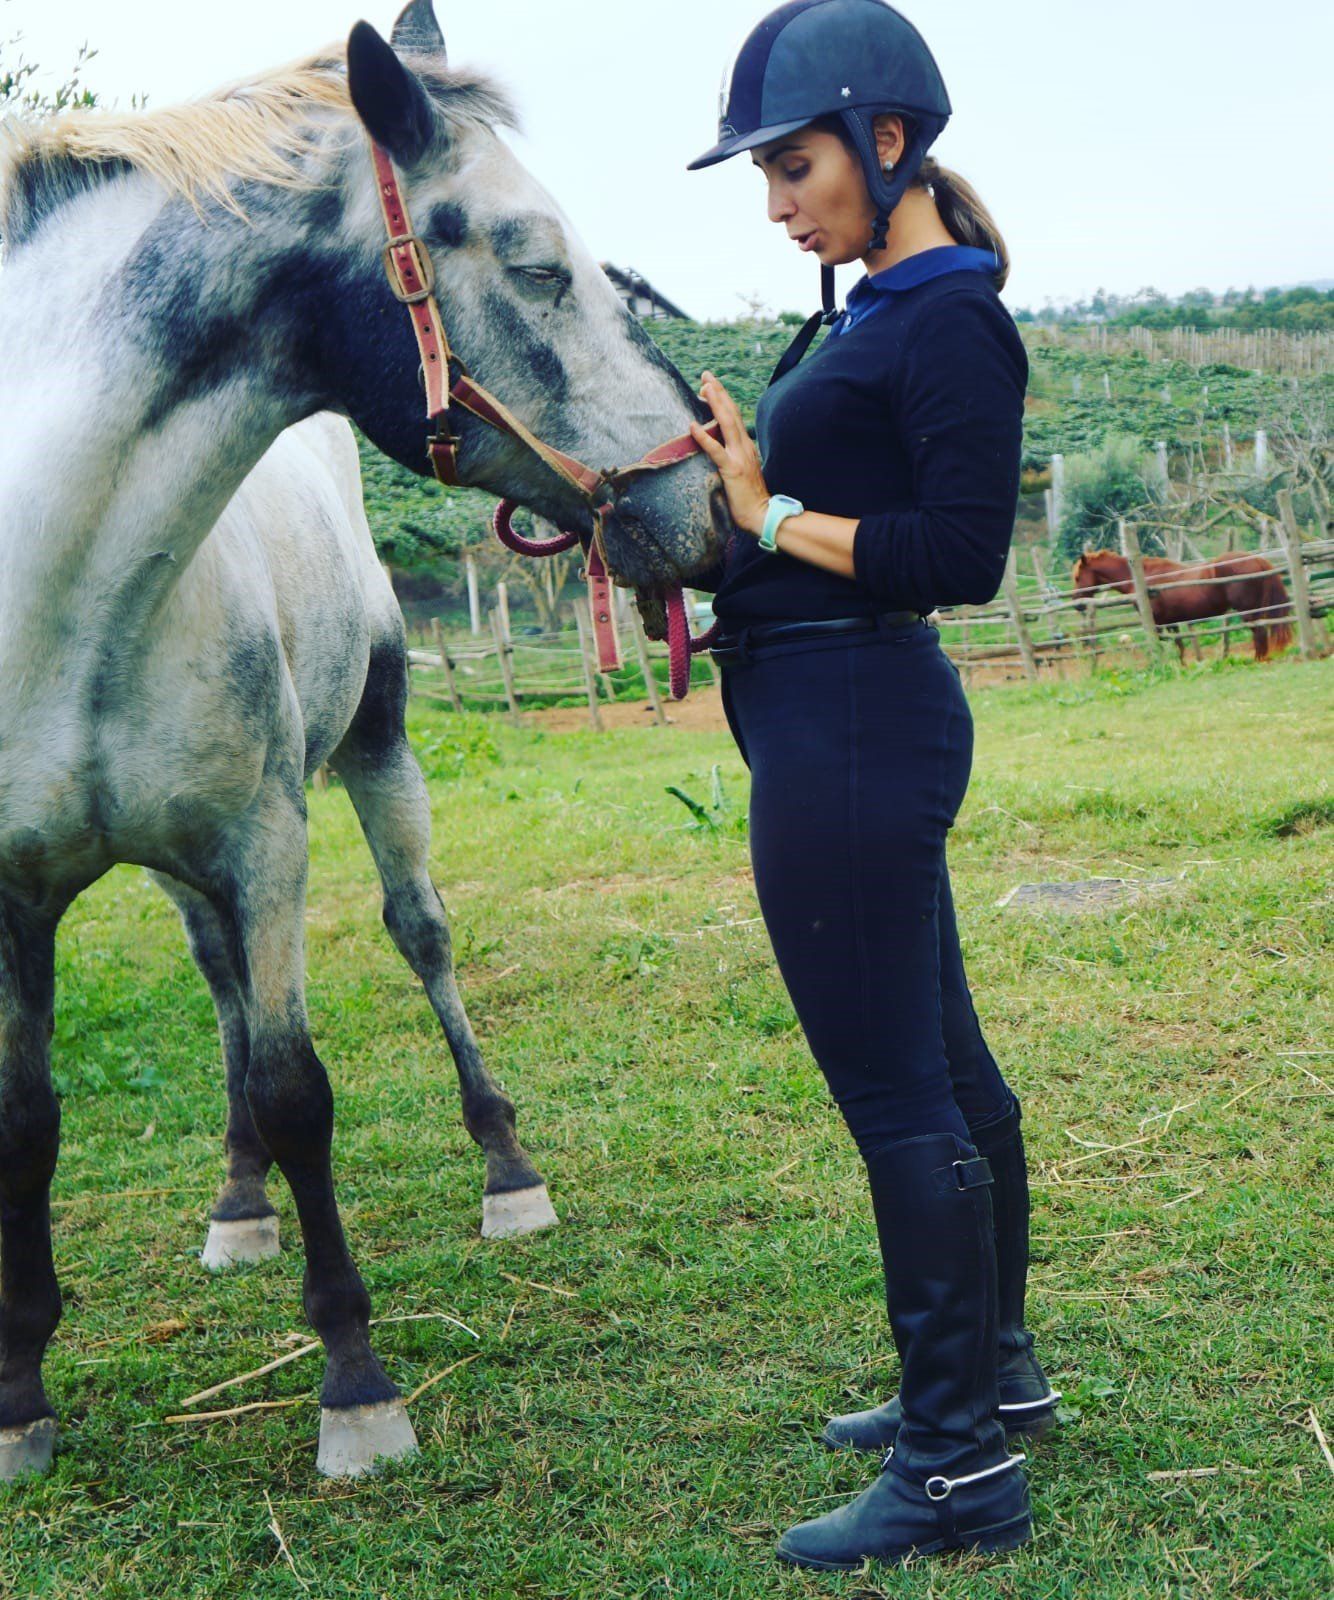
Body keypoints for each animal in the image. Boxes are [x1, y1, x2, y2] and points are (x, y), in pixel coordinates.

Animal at [0, 0, 726, 1482]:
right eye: (534, 262)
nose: (704, 503)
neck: (54, 597)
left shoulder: (266, 842)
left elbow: (296, 1088)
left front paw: (352, 1380)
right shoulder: (18, 898)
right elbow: (28, 1123)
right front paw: (21, 1392)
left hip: (373, 760)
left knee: (419, 936)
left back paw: (505, 1170)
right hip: (187, 868)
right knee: (221, 979)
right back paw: (236, 1205)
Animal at [1071, 549, 1294, 661]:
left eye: (1078, 577)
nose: (1076, 604)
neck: (1142, 578)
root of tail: (1257, 560)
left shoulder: (1158, 624)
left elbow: (1164, 646)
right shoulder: (1172, 623)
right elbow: (1179, 646)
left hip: (1249, 611)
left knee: (1259, 634)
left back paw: (1258, 659)